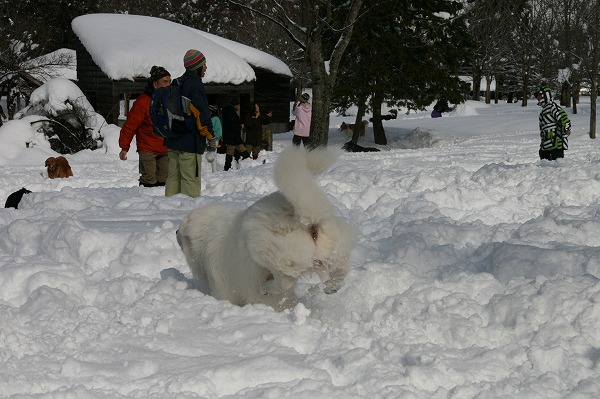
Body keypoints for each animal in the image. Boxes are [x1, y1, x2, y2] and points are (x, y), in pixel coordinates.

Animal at [177, 147, 356, 312]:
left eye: (180, 231)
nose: (176, 232)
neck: (204, 234)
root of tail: (307, 219)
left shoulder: (221, 286)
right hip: (333, 248)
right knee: (340, 268)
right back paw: (331, 286)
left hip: (267, 248)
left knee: (285, 280)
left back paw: (267, 287)